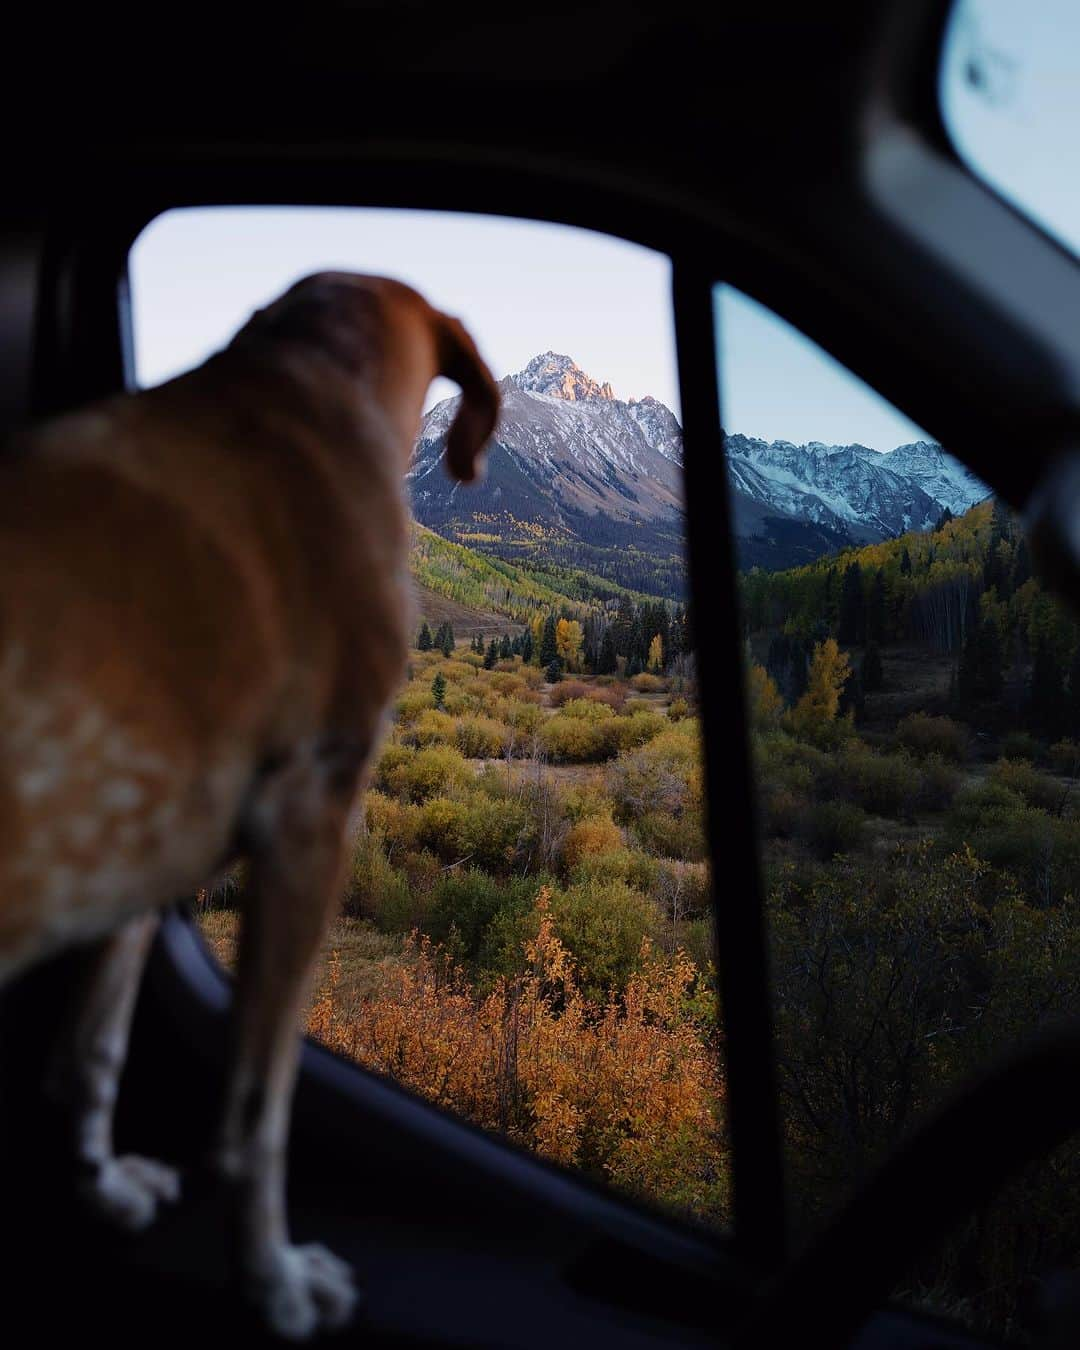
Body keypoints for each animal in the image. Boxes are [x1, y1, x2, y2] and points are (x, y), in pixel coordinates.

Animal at [0, 274, 496, 1339]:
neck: (308, 374)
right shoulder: (310, 822)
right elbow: (256, 1115)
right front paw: (271, 1280)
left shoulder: (138, 856)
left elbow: (95, 1049)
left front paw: (100, 1185)